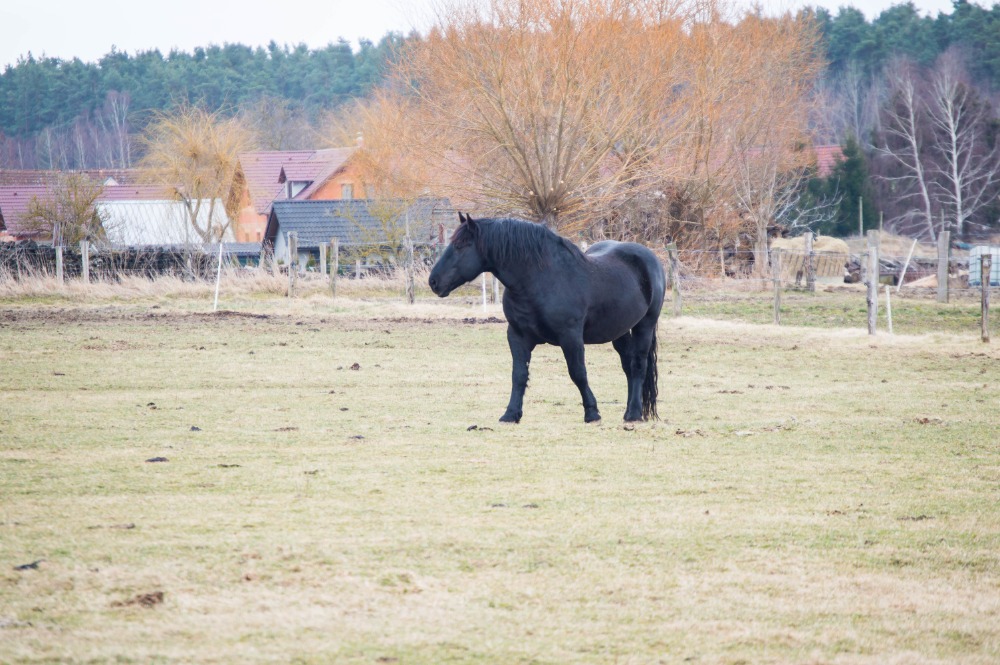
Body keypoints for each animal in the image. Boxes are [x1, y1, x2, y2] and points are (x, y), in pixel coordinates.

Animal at [428, 215, 664, 422]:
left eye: (461, 246)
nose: (433, 281)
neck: (541, 280)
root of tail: (649, 258)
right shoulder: (517, 336)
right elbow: (519, 375)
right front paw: (511, 414)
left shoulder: (570, 337)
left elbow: (578, 373)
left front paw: (592, 413)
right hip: (619, 331)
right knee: (627, 366)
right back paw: (629, 411)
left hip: (645, 325)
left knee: (638, 365)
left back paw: (634, 414)